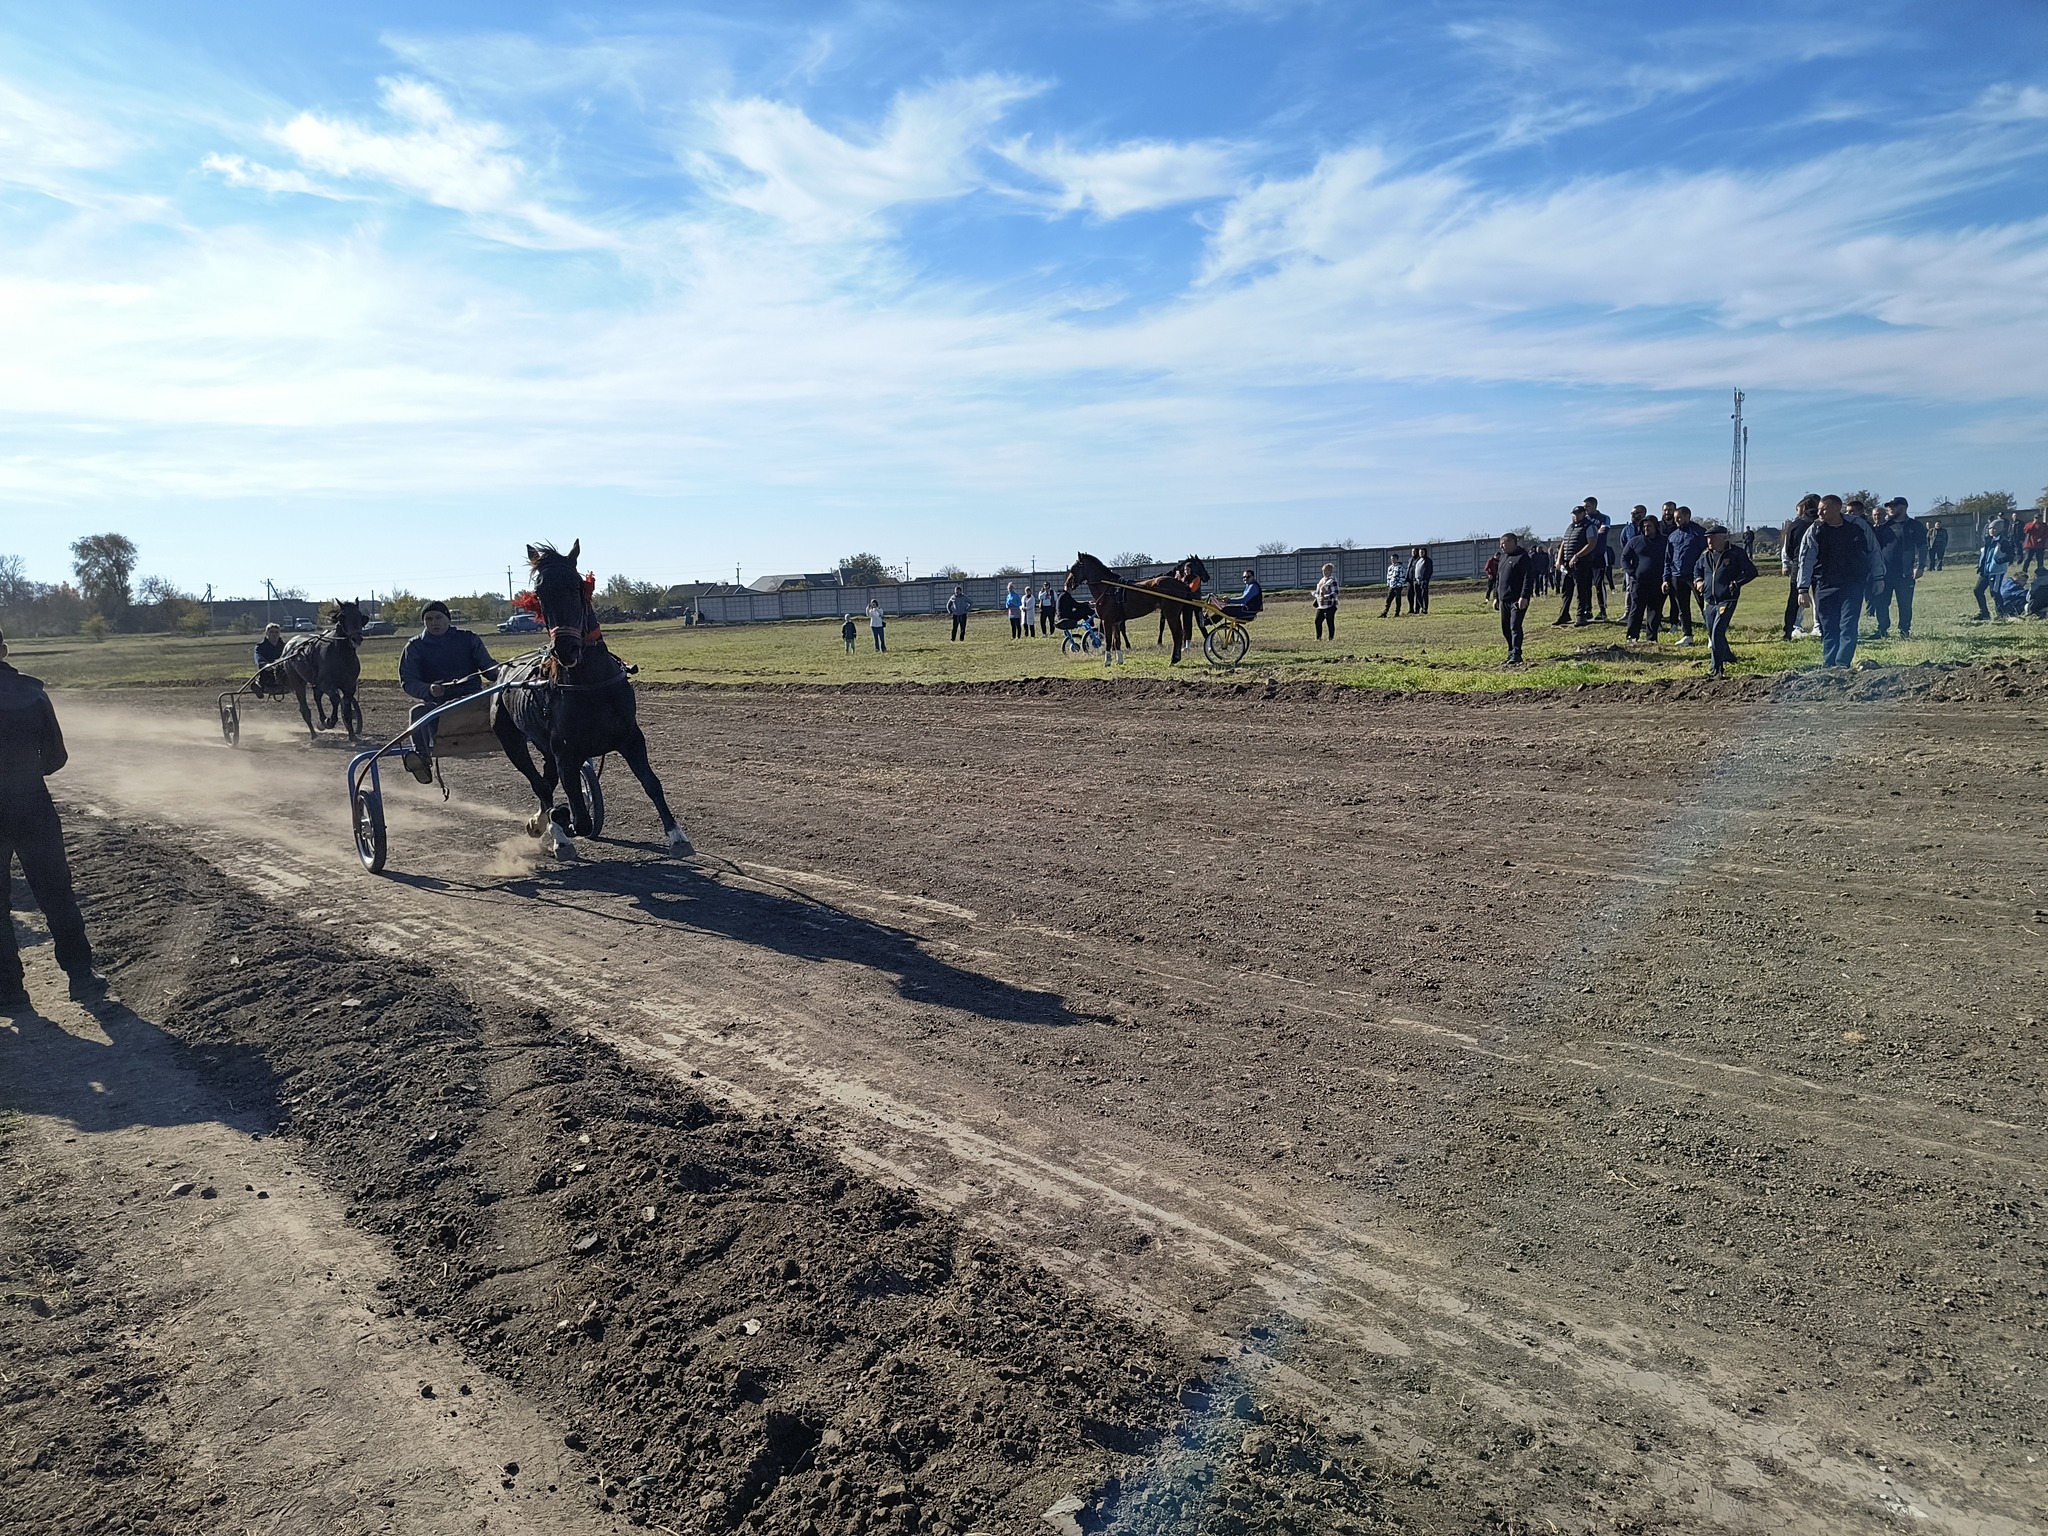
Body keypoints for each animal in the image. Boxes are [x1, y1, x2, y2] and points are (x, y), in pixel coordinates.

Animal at [272, 598, 368, 741]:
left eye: (359, 615)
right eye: (343, 616)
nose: (356, 638)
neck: (340, 654)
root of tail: (289, 645)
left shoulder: (349, 686)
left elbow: (346, 710)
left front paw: (352, 736)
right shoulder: (325, 684)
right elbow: (335, 699)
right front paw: (330, 721)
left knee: (317, 696)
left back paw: (322, 721)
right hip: (297, 682)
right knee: (304, 708)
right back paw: (314, 734)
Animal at [491, 540, 692, 860]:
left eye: (576, 587)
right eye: (540, 593)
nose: (566, 648)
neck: (591, 685)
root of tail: (504, 669)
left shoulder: (631, 738)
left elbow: (652, 784)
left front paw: (677, 836)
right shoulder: (566, 753)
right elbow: (578, 817)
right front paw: (562, 821)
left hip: (543, 746)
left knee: (546, 781)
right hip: (511, 741)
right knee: (540, 785)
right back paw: (556, 833)